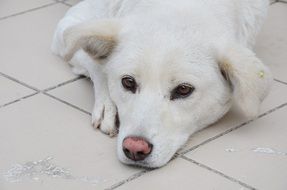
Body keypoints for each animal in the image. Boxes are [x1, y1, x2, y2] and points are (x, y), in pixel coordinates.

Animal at [51, 0, 272, 168]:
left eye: (183, 89)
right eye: (128, 82)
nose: (134, 148)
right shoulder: (71, 24)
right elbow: (96, 65)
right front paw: (107, 106)